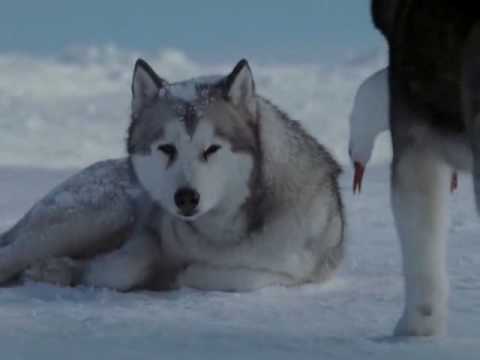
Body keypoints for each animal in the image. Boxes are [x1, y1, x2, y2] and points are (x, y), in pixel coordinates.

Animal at [0, 57, 344, 292]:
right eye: (167, 148)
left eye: (212, 149)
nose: (186, 198)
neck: (220, 232)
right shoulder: (149, 230)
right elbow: (133, 263)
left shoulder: (296, 266)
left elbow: (233, 275)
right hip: (97, 216)